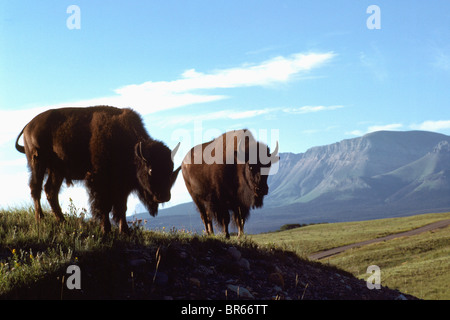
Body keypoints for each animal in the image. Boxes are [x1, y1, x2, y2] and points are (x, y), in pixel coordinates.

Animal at [15, 106, 181, 234]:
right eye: (151, 170)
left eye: (171, 170)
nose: (164, 197)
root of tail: (29, 125)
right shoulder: (100, 181)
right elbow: (104, 207)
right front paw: (106, 230)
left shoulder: (122, 186)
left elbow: (122, 207)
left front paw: (125, 231)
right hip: (38, 163)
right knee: (36, 188)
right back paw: (40, 218)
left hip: (57, 171)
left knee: (50, 191)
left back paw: (62, 221)